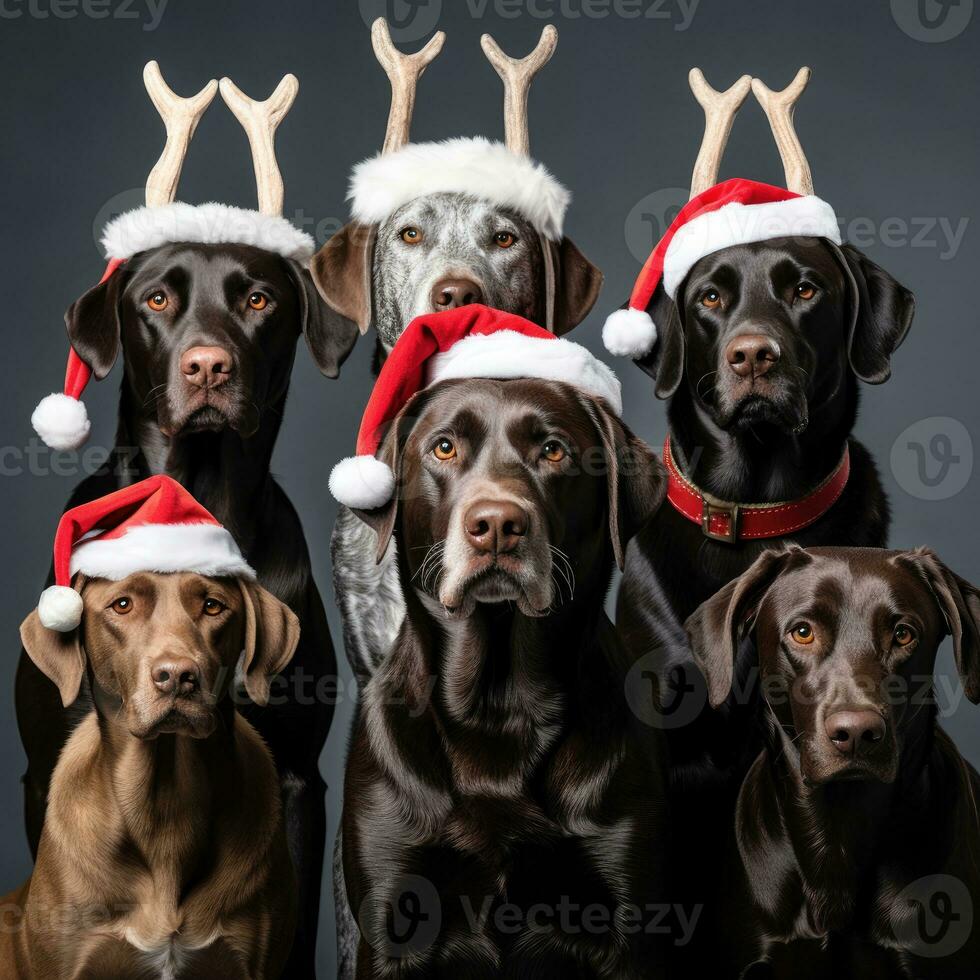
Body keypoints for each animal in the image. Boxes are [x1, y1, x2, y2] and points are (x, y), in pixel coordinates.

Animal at [340, 378, 668, 976]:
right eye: (444, 448)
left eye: (554, 451)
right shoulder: (388, 924)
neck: (496, 706)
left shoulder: (630, 930)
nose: (496, 526)